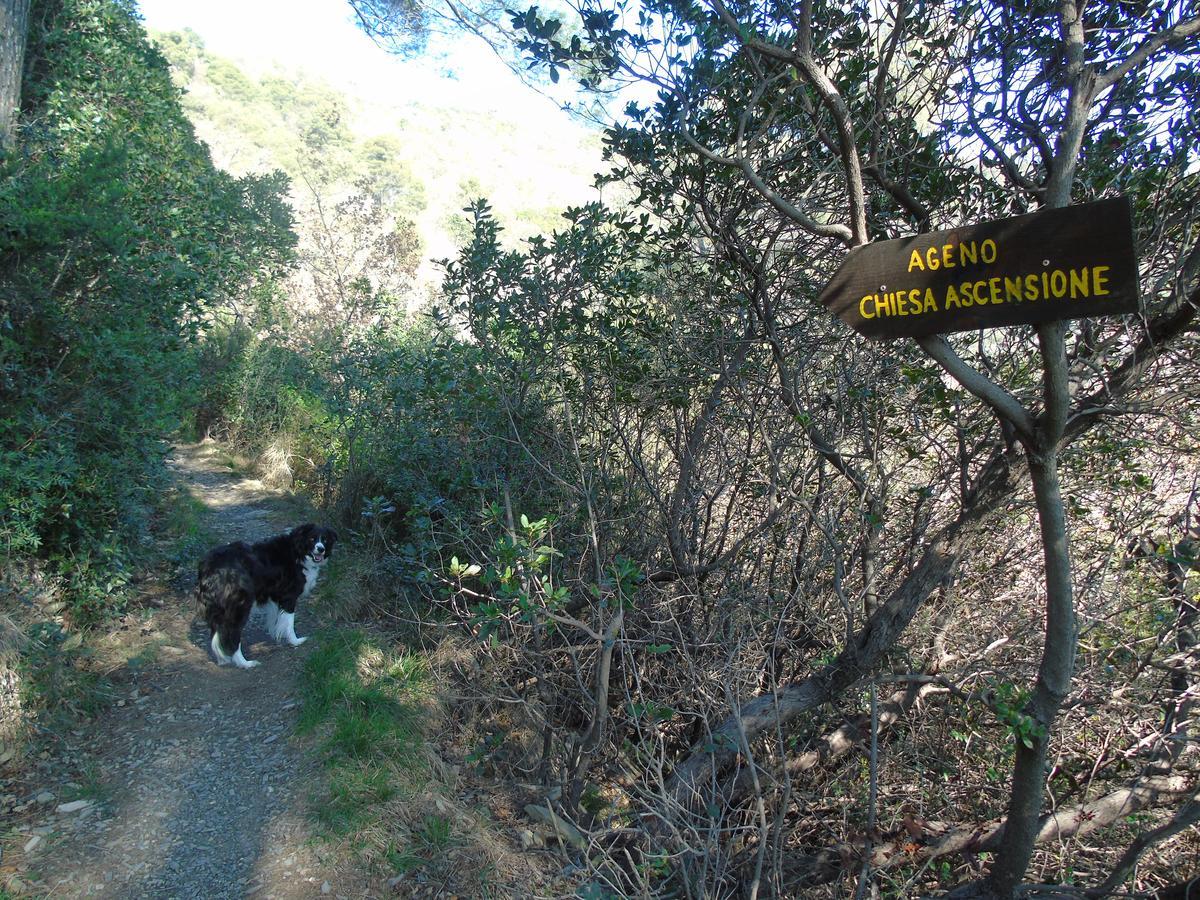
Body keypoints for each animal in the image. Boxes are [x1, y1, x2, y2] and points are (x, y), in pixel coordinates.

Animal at [198, 520, 338, 672]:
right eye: (312, 539)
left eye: (325, 540)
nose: (321, 549)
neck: (297, 552)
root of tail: (211, 566)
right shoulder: (289, 597)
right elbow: (289, 623)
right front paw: (295, 641)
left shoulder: (275, 597)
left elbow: (277, 620)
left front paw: (276, 634)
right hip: (239, 607)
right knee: (232, 636)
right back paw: (245, 663)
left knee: (217, 634)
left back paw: (223, 659)